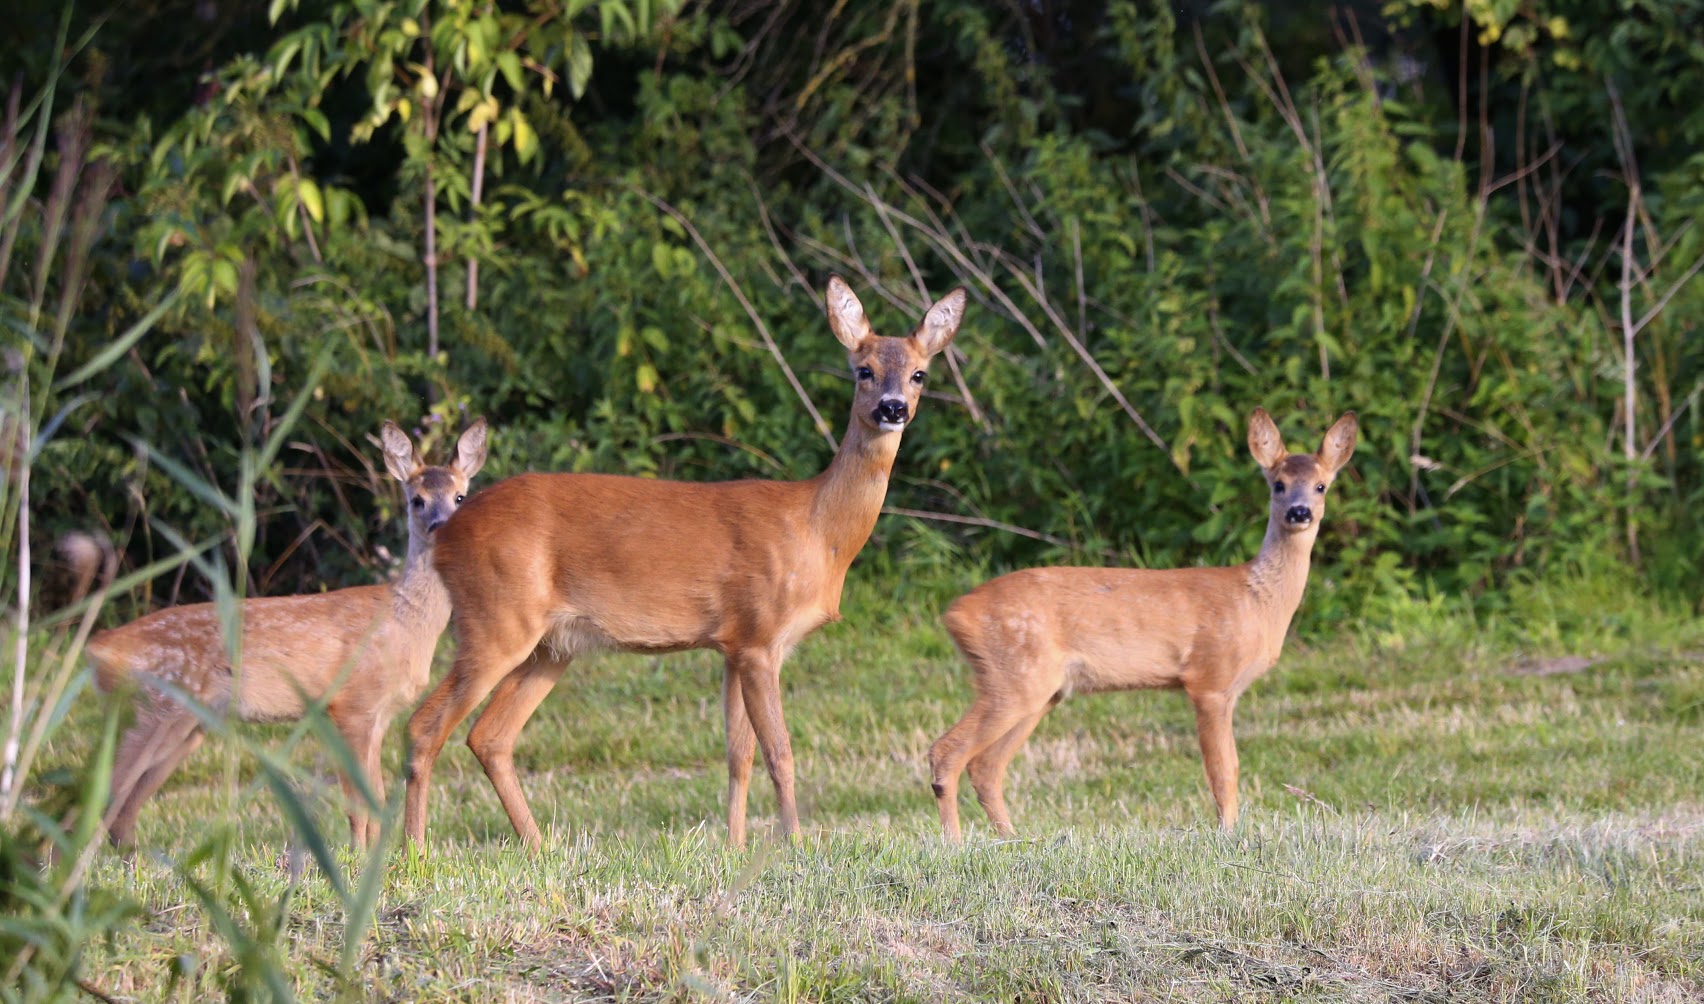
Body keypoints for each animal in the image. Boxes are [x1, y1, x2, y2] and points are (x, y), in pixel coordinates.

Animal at [85, 414, 487, 845]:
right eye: (417, 500)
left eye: (460, 497)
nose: (440, 525)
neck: (403, 621)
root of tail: (99, 649)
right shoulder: (350, 704)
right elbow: (357, 803)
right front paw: (358, 854)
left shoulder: (378, 714)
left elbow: (376, 798)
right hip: (149, 709)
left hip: (184, 724)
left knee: (121, 812)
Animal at [395, 277, 961, 848]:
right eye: (863, 369)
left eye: (919, 374)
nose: (893, 408)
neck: (818, 532)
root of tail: (447, 535)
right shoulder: (760, 637)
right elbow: (780, 753)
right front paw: (796, 845)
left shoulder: (735, 643)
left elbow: (739, 755)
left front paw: (735, 846)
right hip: (494, 620)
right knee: (425, 725)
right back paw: (415, 850)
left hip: (552, 645)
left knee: (489, 735)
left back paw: (537, 847)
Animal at [933, 407, 1356, 838]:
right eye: (1278, 485)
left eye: (1321, 486)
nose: (1299, 512)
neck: (1258, 601)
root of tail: (955, 613)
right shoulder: (1210, 679)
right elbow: (1224, 770)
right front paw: (1227, 835)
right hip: (1014, 675)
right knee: (946, 752)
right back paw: (955, 842)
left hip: (1039, 689)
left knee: (986, 766)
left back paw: (1014, 840)